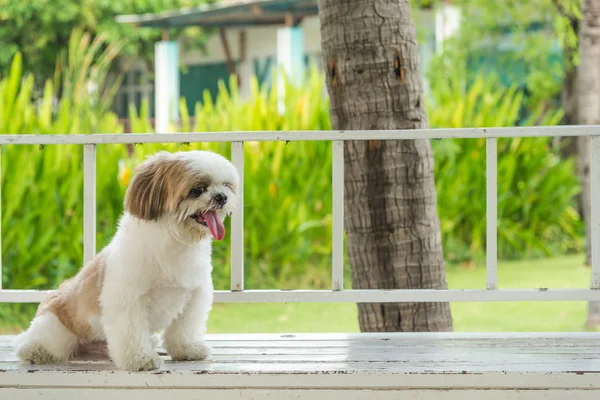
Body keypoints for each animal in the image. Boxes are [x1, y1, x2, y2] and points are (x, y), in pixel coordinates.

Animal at [14, 150, 239, 372]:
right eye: (197, 189)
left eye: (226, 185)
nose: (221, 197)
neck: (175, 240)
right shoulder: (128, 299)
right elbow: (131, 333)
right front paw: (140, 360)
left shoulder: (194, 295)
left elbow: (184, 329)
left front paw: (188, 350)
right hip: (57, 329)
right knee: (39, 342)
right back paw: (34, 350)